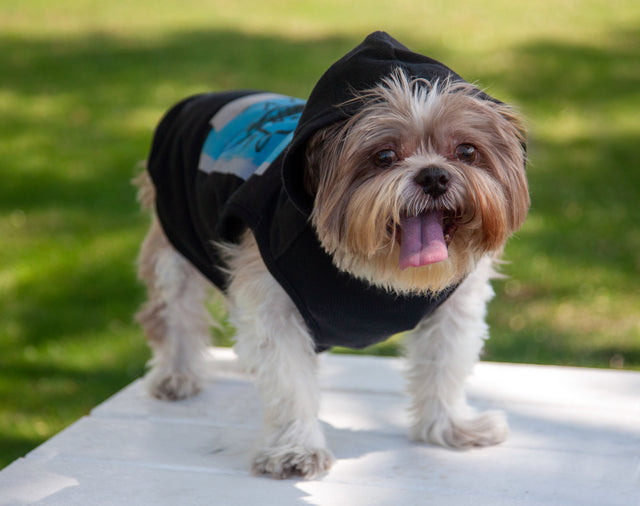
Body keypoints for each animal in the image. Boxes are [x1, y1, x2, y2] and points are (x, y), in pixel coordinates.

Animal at [132, 31, 528, 478]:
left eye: (466, 151)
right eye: (384, 156)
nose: (434, 175)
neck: (374, 271)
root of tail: (199, 98)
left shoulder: (455, 307)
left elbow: (445, 365)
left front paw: (449, 426)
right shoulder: (272, 304)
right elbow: (288, 381)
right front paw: (294, 450)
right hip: (173, 241)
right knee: (173, 313)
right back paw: (176, 374)